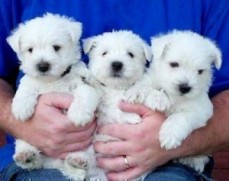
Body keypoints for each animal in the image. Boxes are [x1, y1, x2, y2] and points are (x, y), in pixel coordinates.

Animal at [6, 13, 99, 180]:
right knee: (35, 161)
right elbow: (26, 86)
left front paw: (78, 114)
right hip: (27, 139)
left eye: (56, 47)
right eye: (30, 50)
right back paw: (26, 155)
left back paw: (77, 161)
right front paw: (21, 107)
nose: (42, 66)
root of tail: (56, 164)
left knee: (85, 161)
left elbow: (85, 93)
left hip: (89, 146)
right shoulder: (32, 80)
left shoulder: (84, 83)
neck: (53, 80)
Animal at [78, 30, 153, 180]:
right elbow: (101, 92)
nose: (117, 64)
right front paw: (87, 76)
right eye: (104, 53)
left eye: (130, 54)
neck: (116, 88)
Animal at [134, 30, 222, 173]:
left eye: (200, 71)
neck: (174, 96)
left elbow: (179, 117)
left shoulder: (201, 111)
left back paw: (194, 161)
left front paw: (170, 136)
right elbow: (147, 84)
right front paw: (146, 95)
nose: (185, 87)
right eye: (174, 64)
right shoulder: (152, 78)